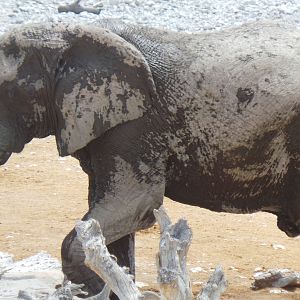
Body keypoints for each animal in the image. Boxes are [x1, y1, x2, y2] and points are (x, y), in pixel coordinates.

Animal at [0, 19, 300, 296]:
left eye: (5, 90)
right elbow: (108, 217)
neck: (74, 35)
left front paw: (96, 289)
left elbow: (137, 203)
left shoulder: (135, 126)